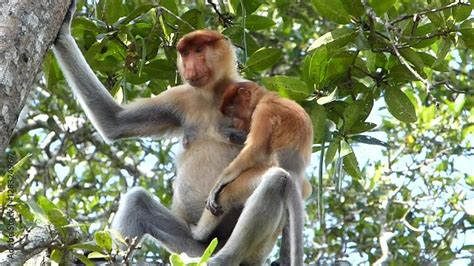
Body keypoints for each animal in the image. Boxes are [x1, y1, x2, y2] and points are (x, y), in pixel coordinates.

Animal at [191, 81, 312, 241]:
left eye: (231, 110)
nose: (236, 123)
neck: (266, 97)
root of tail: (295, 173)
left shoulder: (264, 111)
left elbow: (255, 149)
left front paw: (218, 185)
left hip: (259, 174)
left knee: (227, 194)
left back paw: (198, 233)